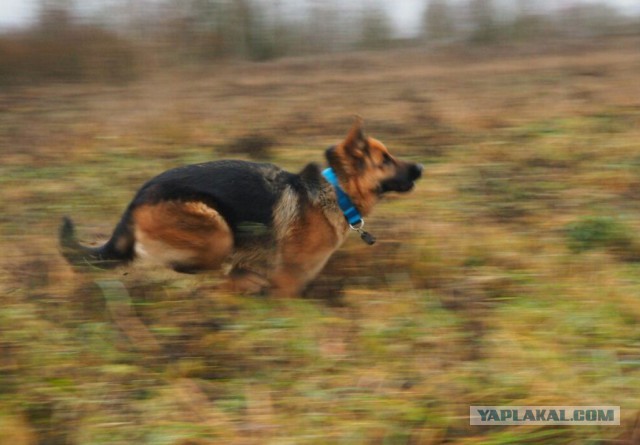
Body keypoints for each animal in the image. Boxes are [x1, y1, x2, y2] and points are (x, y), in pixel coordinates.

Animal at [58, 118, 420, 294]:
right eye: (385, 160)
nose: (420, 168)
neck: (336, 192)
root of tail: (136, 199)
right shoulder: (288, 281)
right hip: (215, 230)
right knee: (174, 264)